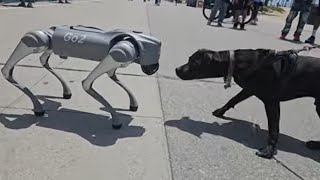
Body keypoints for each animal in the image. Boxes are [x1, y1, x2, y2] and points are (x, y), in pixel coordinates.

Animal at [1, 25, 162, 129]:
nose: (153, 67)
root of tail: (52, 31)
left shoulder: (117, 59)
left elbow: (110, 75)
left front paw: (133, 104)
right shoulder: (119, 54)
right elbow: (86, 83)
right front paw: (116, 121)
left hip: (48, 46)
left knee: (42, 60)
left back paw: (64, 92)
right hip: (38, 41)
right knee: (7, 69)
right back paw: (38, 108)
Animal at [175, 48, 320, 159]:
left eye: (194, 63)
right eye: (189, 59)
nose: (177, 69)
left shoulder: (271, 101)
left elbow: (274, 128)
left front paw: (269, 149)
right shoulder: (249, 89)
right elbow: (233, 99)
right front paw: (221, 111)